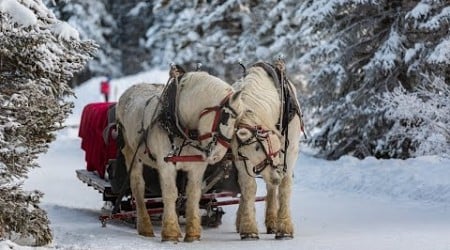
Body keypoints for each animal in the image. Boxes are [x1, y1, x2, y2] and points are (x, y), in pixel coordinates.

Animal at [115, 69, 243, 242]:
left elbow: (193, 194)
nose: (217, 156)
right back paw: (145, 227)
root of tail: (130, 90)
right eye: (225, 118)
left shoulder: (197, 167)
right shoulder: (166, 164)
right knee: (137, 187)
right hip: (131, 153)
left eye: (239, 123)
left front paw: (193, 233)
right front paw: (170, 232)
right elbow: (170, 194)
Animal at [232, 62, 302, 240]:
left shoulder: (290, 151)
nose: (276, 177)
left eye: (259, 146)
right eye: (243, 152)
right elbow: (248, 187)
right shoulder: (241, 160)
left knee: (272, 188)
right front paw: (248, 228)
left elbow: (285, 186)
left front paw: (284, 227)